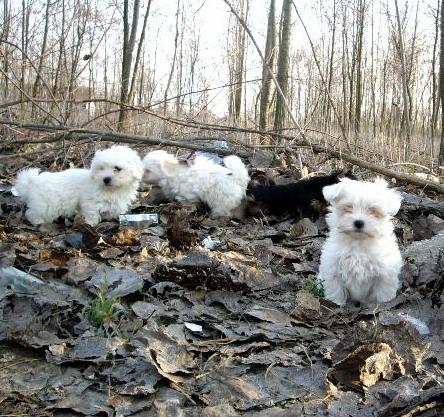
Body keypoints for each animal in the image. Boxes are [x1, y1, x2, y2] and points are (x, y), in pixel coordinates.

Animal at [14, 145, 144, 226]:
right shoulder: (90, 201)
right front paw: (91, 224)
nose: (106, 179)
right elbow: (92, 214)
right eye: (101, 168)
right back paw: (38, 222)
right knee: (32, 213)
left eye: (117, 168)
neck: (112, 190)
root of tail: (31, 182)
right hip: (44, 204)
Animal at [316, 176, 402, 306]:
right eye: (348, 208)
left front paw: (381, 305)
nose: (358, 222)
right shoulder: (332, 267)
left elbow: (383, 292)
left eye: (373, 210)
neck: (358, 242)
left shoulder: (386, 272)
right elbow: (336, 288)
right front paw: (336, 303)